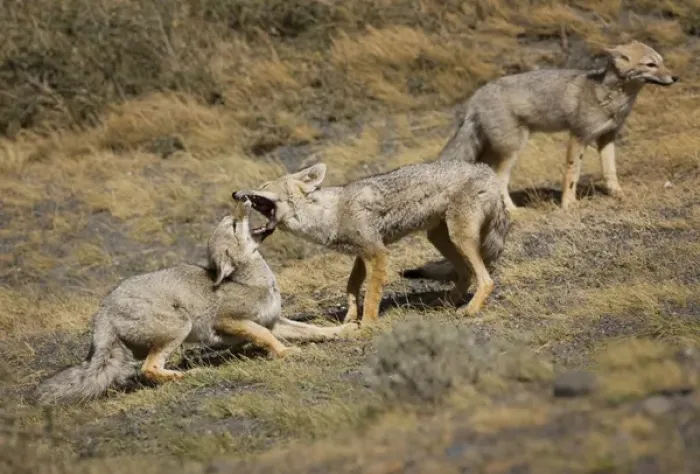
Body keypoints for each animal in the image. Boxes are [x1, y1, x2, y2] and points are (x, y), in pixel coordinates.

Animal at [35, 200, 356, 405]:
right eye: (235, 224)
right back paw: (187, 375)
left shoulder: (275, 321)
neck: (252, 281)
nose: (242, 197)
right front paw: (284, 352)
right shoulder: (231, 322)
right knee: (148, 369)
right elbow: (264, 335)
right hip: (181, 325)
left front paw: (342, 331)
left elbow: (313, 330)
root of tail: (103, 307)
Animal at [232, 160, 510, 325]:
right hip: (441, 239)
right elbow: (351, 286)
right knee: (466, 274)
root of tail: (488, 171)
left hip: (459, 238)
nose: (234, 193)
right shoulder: (361, 253)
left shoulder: (377, 253)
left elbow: (372, 294)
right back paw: (446, 303)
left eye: (263, 185)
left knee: (486, 279)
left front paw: (366, 324)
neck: (329, 213)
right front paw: (350, 316)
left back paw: (470, 309)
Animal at [438, 40, 678, 211]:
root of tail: (477, 95)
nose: (675, 77)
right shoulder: (578, 136)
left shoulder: (607, 138)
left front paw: (618, 194)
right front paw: (568, 204)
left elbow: (610, 172)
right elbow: (572, 174)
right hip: (512, 151)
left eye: (662, 62)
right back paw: (513, 211)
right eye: (651, 65)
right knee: (499, 178)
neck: (611, 98)